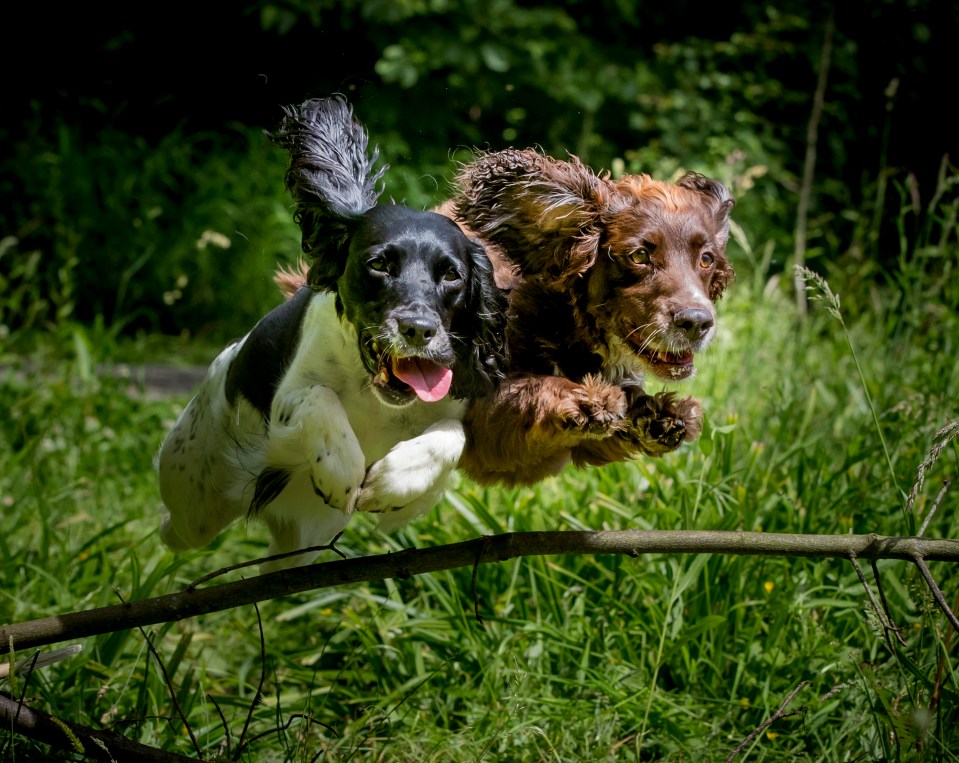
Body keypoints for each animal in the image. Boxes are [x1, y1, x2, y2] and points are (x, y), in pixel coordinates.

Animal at [158, 95, 506, 572]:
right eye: (379, 264)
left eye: (451, 274)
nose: (418, 329)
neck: (375, 396)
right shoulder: (289, 397)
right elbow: (318, 397)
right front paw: (341, 473)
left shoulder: (452, 412)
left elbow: (453, 435)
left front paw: (390, 482)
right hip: (190, 492)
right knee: (174, 529)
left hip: (299, 545)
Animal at [438, 147, 740, 486]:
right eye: (639, 256)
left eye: (706, 259)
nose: (696, 322)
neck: (568, 324)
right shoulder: (483, 429)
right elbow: (532, 390)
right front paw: (587, 398)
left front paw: (658, 414)